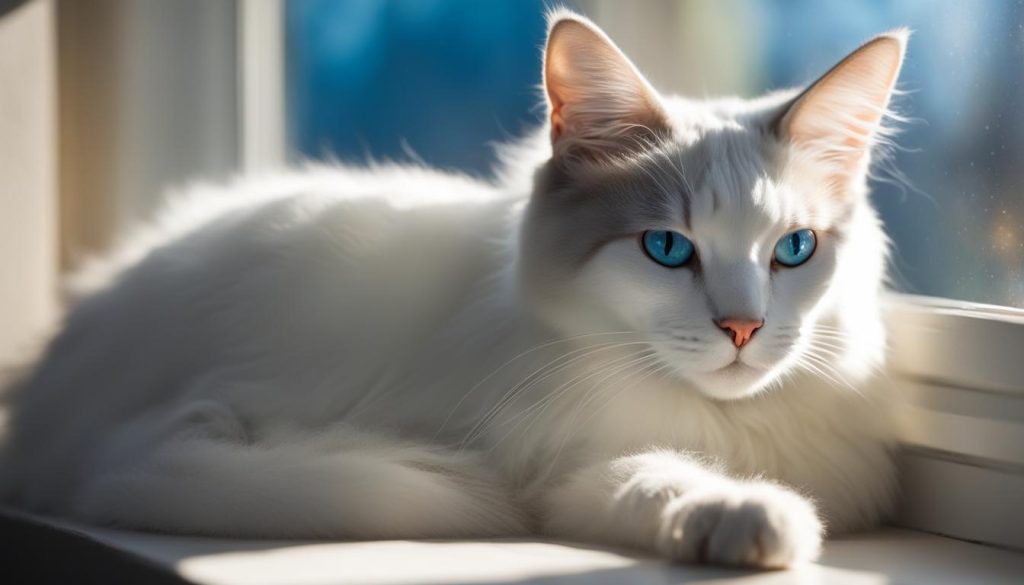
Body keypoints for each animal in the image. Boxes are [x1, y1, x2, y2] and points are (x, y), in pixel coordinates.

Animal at [4, 8, 909, 569]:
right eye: (666, 248)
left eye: (793, 250)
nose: (743, 327)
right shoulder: (561, 466)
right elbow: (663, 476)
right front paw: (754, 516)